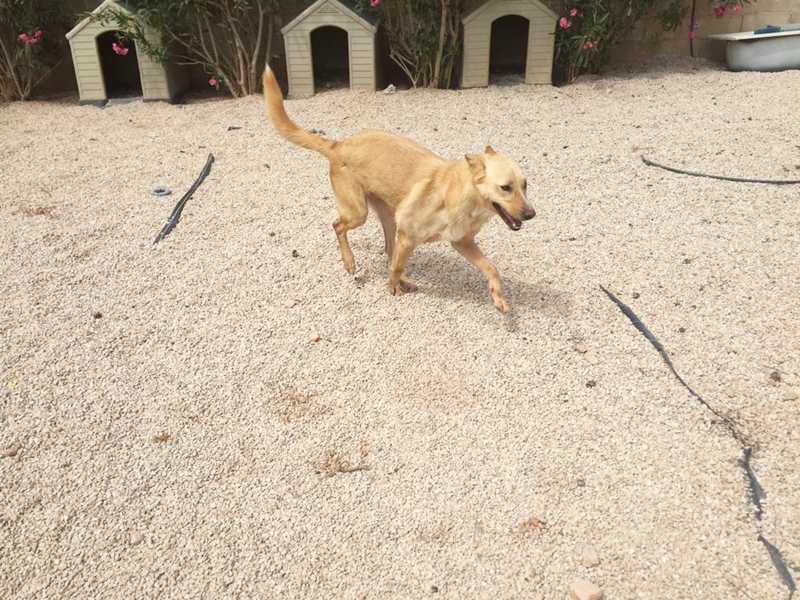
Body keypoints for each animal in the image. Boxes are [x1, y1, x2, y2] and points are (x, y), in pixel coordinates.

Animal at [262, 67, 535, 312]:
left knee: (388, 249)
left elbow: (491, 267)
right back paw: (351, 262)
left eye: (525, 185)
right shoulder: (408, 236)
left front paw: (499, 298)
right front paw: (392, 287)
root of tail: (338, 144)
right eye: (505, 187)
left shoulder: (461, 242)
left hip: (387, 216)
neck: (459, 195)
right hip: (358, 212)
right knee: (339, 226)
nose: (531, 214)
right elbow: (396, 266)